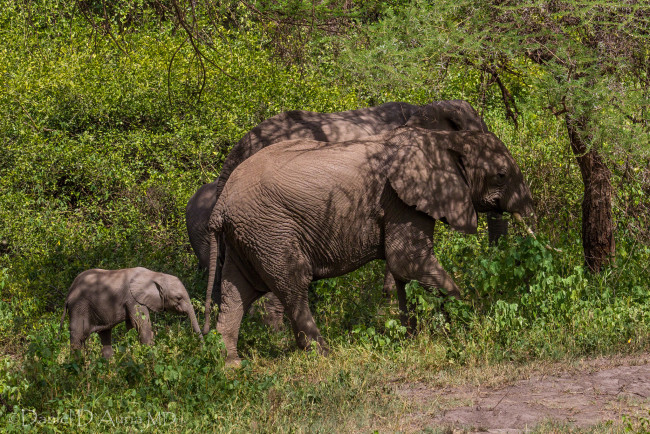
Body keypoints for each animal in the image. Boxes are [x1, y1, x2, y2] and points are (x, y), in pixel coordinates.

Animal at [61, 266, 202, 358]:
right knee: (78, 336)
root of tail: (68, 294)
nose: (202, 346)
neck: (155, 275)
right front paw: (150, 355)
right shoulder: (133, 299)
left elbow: (131, 327)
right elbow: (141, 325)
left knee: (104, 334)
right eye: (178, 298)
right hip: (79, 307)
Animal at [205, 127, 536, 364]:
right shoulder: (401, 199)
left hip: (247, 236)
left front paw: (410, 336)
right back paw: (324, 354)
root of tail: (220, 204)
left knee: (237, 291)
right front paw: (467, 326)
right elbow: (406, 260)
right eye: (501, 175)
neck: (446, 138)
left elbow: (403, 271)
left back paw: (229, 364)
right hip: (270, 229)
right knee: (292, 284)